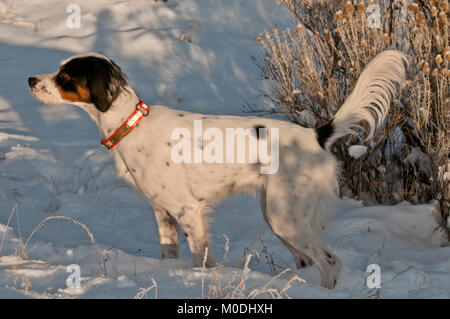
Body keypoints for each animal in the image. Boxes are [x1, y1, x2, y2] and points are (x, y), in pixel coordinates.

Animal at [28, 50, 408, 290]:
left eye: (65, 75)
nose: (31, 79)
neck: (131, 125)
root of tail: (316, 135)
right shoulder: (162, 212)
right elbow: (169, 252)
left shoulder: (188, 210)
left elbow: (200, 258)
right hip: (279, 216)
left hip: (286, 217)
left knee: (331, 262)